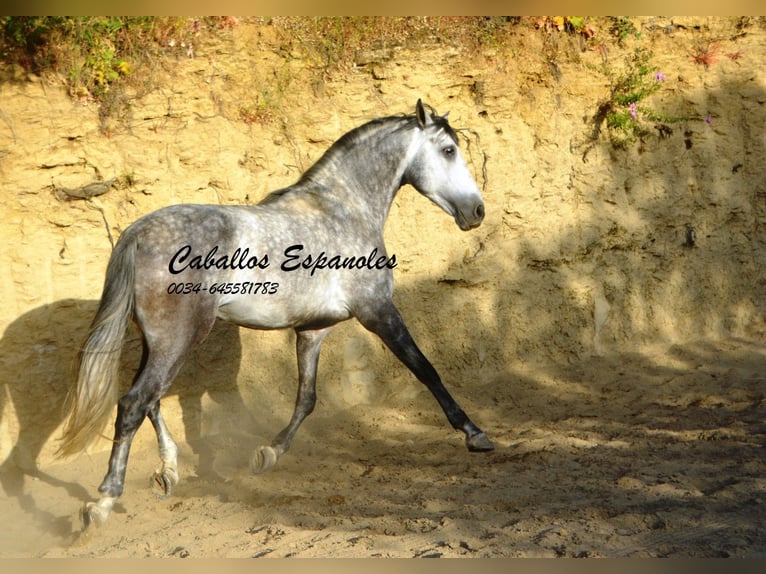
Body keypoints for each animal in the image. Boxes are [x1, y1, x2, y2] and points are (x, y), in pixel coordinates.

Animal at [58, 99, 492, 532]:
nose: (476, 211)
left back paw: (168, 472)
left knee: (151, 399)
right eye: (448, 150)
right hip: (179, 338)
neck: (342, 211)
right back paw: (103, 502)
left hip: (160, 341)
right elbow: (426, 370)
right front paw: (475, 434)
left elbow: (307, 398)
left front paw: (267, 453)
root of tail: (139, 233)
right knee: (135, 403)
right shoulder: (377, 311)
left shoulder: (313, 330)